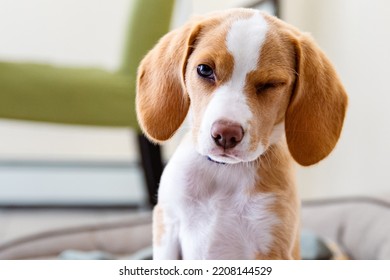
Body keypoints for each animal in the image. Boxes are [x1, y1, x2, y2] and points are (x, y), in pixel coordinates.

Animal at [135, 7, 348, 260]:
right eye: (205, 70)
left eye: (271, 84)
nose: (226, 134)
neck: (224, 173)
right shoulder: (167, 226)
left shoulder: (272, 243)